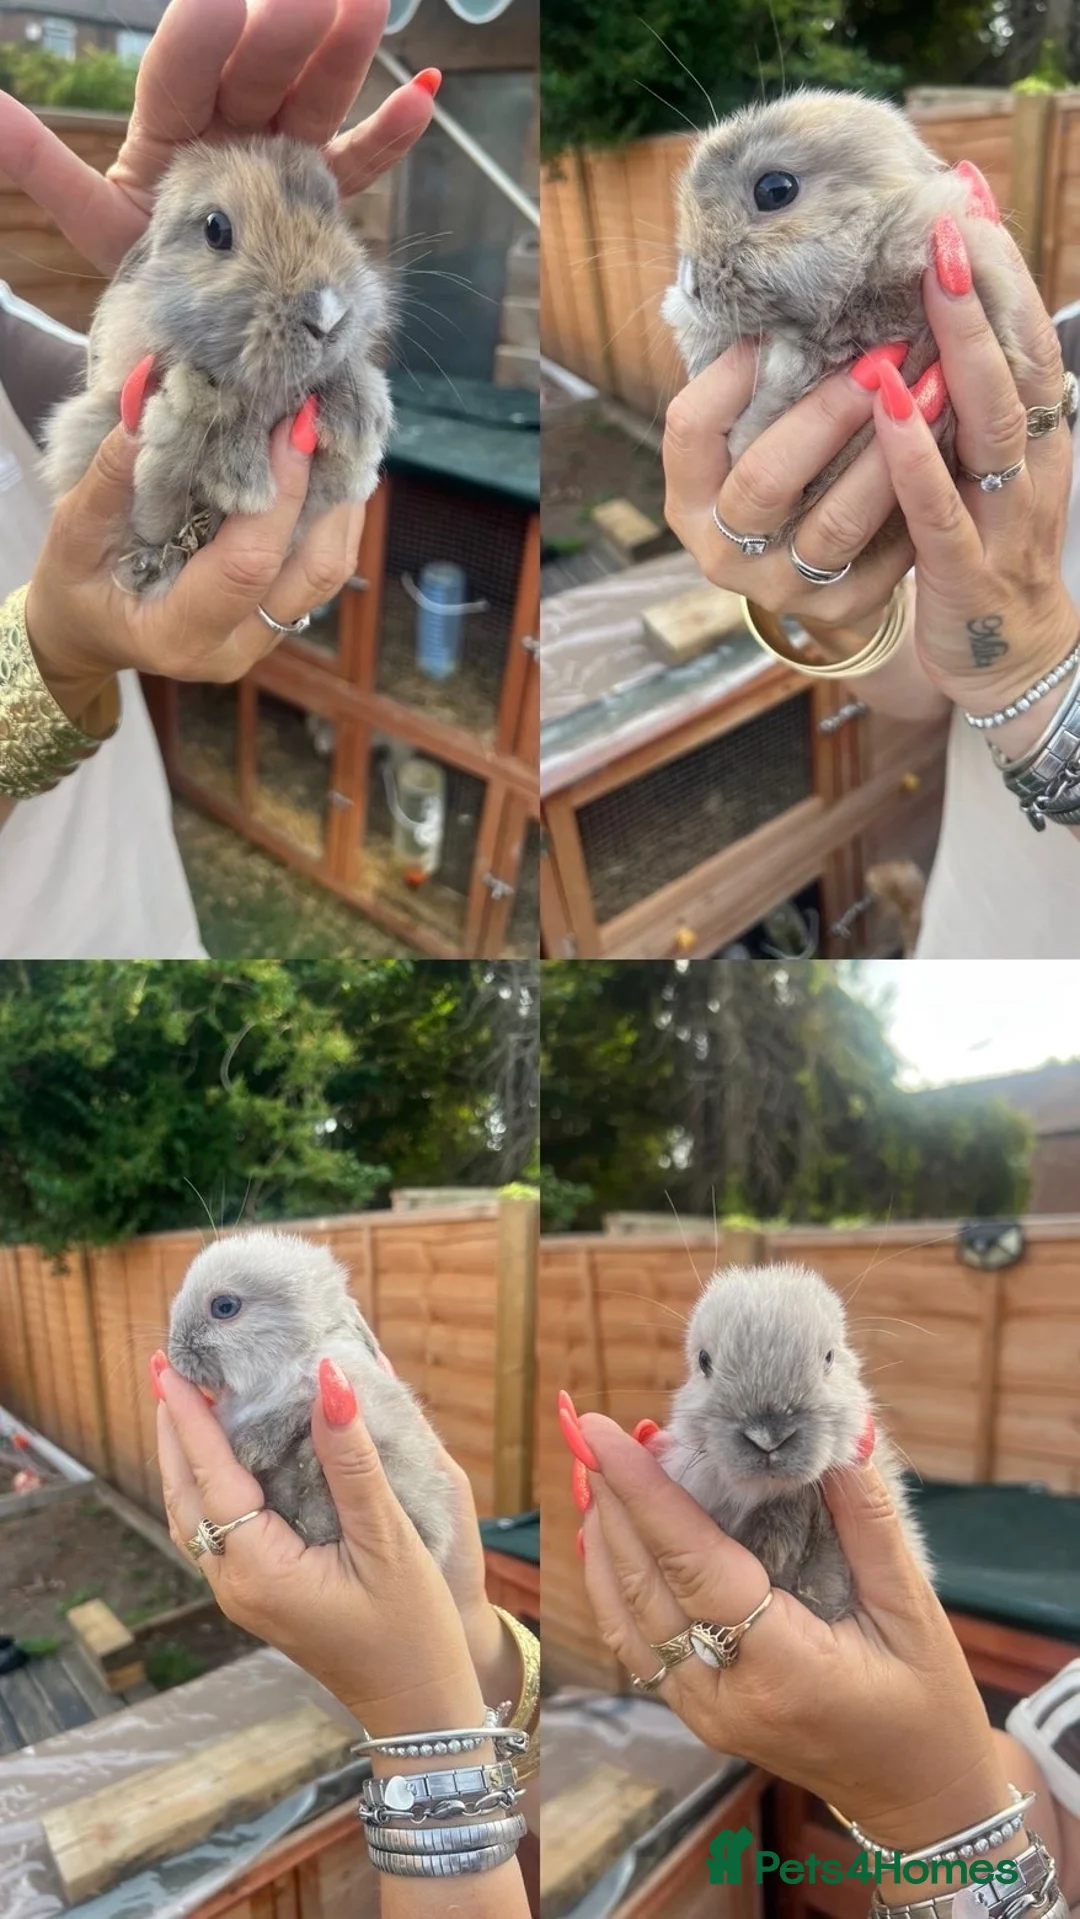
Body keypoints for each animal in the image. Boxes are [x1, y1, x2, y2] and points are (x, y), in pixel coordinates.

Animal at [42, 135, 393, 597]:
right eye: (215, 228)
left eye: (334, 217)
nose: (328, 317)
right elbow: (154, 494)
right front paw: (232, 470)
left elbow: (334, 481)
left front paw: (361, 422)